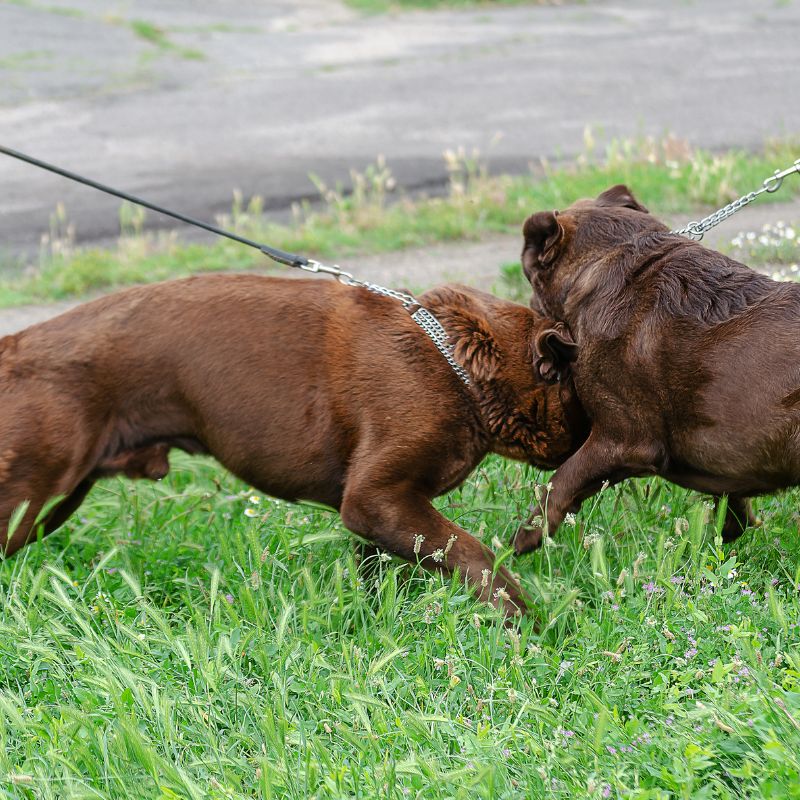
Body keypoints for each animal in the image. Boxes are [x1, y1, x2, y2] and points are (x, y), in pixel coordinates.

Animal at [0, 276, 588, 612]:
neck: (459, 363)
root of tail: (14, 343)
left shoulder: (383, 512)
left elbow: (387, 573)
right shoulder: (377, 497)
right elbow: (474, 554)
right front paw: (525, 621)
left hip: (55, 499)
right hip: (32, 495)